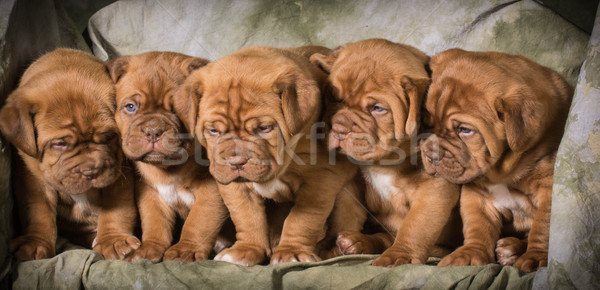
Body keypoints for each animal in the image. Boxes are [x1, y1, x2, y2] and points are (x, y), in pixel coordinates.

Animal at [0, 48, 139, 260]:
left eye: (108, 136)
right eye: (60, 144)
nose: (91, 171)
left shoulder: (119, 171)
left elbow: (117, 208)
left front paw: (113, 240)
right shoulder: (33, 177)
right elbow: (38, 210)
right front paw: (35, 242)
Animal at [108, 51, 230, 262]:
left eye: (177, 109)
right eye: (131, 107)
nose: (153, 130)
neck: (168, 170)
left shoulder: (211, 192)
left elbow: (198, 222)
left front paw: (185, 250)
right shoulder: (151, 193)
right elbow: (155, 224)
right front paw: (149, 248)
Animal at [173, 44, 366, 266]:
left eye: (263, 128)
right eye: (213, 131)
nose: (236, 161)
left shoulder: (320, 182)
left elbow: (302, 220)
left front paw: (291, 252)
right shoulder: (236, 187)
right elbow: (247, 217)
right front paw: (246, 249)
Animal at [312, 39, 462, 268]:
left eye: (377, 108)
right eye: (334, 97)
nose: (338, 128)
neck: (384, 162)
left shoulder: (434, 189)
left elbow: (416, 225)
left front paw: (401, 254)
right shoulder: (352, 186)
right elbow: (344, 215)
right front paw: (331, 247)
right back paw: (356, 242)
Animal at [420, 48, 576, 272]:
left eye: (465, 130)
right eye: (427, 121)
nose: (431, 154)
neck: (502, 171)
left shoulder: (549, 189)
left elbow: (543, 227)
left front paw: (536, 257)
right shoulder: (477, 194)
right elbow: (478, 226)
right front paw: (470, 253)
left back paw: (512, 250)